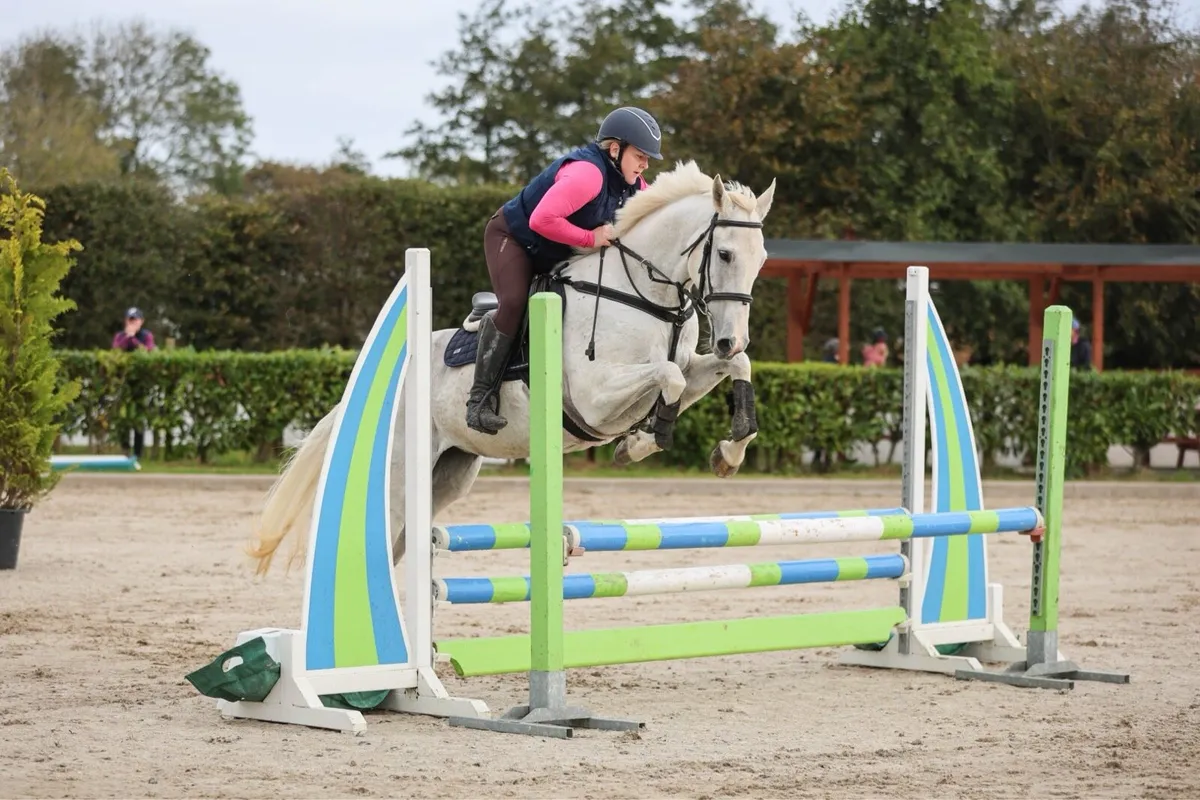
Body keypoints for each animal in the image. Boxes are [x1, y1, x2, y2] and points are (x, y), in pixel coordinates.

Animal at [248, 160, 777, 574]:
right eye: (724, 253)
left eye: (762, 260)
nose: (728, 337)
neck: (641, 292)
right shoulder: (593, 396)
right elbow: (667, 377)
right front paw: (642, 443)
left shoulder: (686, 368)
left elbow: (728, 369)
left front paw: (729, 450)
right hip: (398, 480)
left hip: (450, 473)